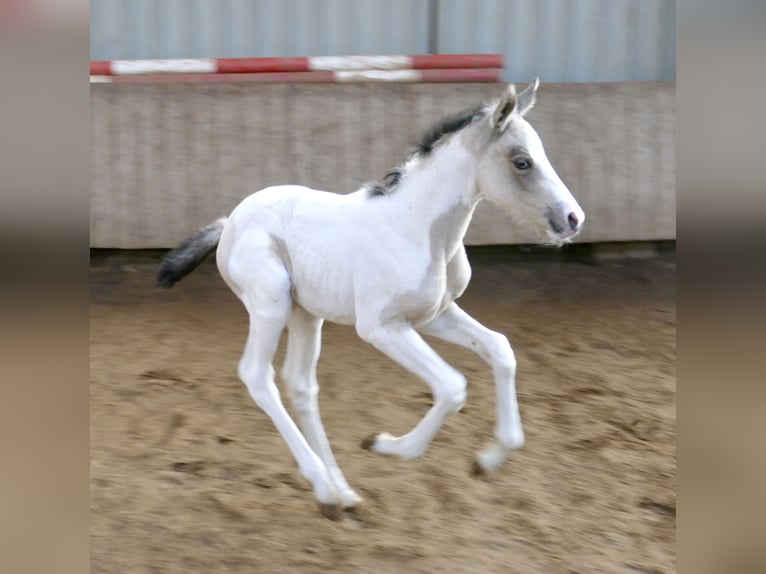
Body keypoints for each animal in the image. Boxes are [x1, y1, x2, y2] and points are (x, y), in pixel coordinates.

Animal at [157, 79, 585, 519]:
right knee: (257, 376)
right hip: (269, 305)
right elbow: (452, 386)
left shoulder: (435, 315)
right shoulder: (381, 327)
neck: (416, 229)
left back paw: (341, 493)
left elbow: (500, 349)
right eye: (522, 162)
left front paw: (487, 459)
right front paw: (385, 445)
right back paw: (323, 485)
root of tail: (230, 223)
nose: (573, 219)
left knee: (301, 384)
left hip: (306, 314)